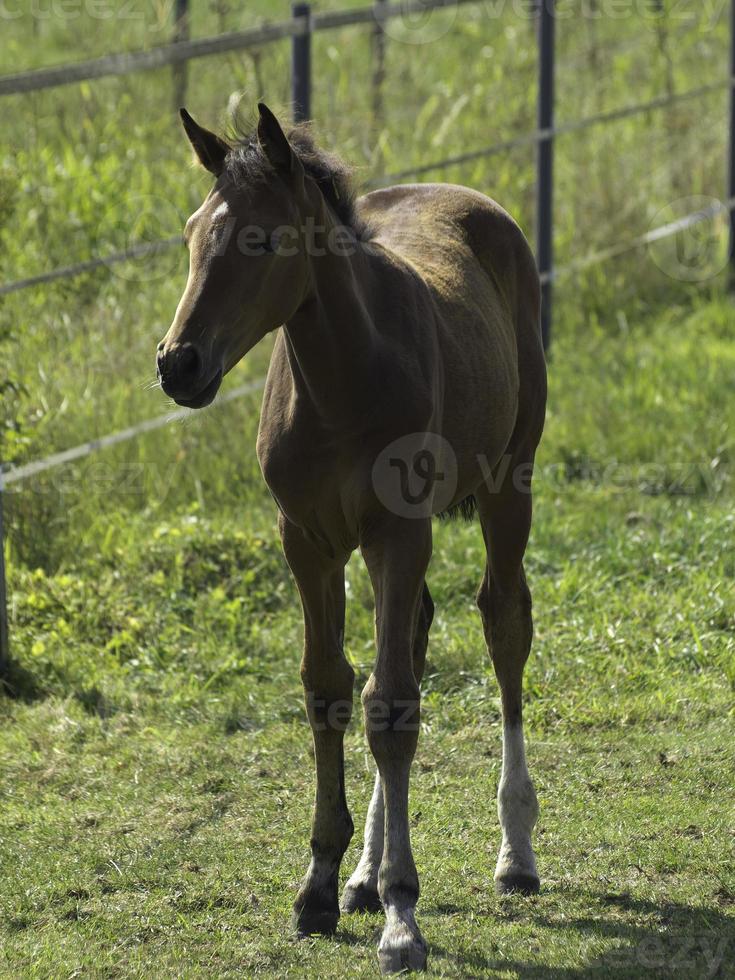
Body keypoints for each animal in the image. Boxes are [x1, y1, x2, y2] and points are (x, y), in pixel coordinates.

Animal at [158, 103, 548, 968]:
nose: (177, 364)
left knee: (503, 622)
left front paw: (404, 913)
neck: (340, 380)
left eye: (261, 240)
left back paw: (515, 851)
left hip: (509, 481)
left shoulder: (397, 531)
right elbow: (330, 690)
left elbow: (391, 703)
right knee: (419, 632)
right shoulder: (306, 538)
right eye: (194, 231)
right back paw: (363, 877)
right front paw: (320, 885)